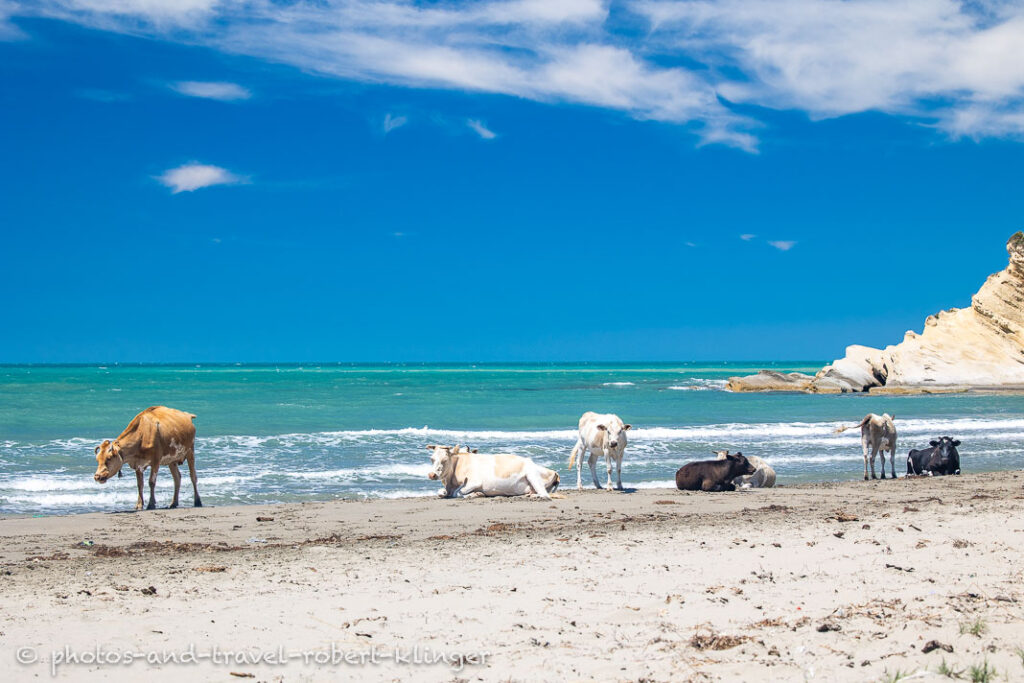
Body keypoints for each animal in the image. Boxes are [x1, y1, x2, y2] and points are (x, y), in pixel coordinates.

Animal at [425, 446, 561, 499]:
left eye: (445, 460)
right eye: (431, 459)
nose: (432, 475)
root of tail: (554, 471)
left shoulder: (475, 482)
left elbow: (461, 491)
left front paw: (475, 494)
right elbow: (441, 492)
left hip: (533, 475)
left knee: (545, 495)